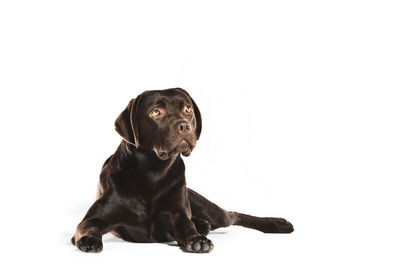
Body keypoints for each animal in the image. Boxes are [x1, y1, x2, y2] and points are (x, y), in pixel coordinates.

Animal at [71, 88, 294, 253]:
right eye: (155, 112)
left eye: (187, 109)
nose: (184, 126)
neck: (153, 172)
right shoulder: (93, 218)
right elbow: (88, 227)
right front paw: (89, 239)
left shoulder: (177, 213)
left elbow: (186, 227)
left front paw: (197, 239)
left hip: (207, 208)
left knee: (232, 215)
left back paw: (278, 224)